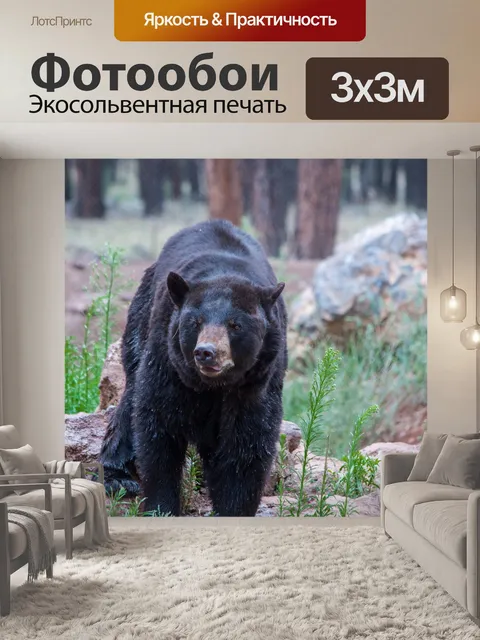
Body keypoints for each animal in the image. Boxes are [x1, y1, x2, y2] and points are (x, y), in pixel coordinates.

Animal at [99, 219, 287, 516]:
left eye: (235, 324)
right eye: (195, 322)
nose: (206, 353)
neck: (214, 385)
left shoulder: (256, 383)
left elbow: (247, 444)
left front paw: (233, 507)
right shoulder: (167, 360)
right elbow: (158, 427)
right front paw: (161, 506)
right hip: (141, 320)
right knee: (129, 402)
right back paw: (118, 477)